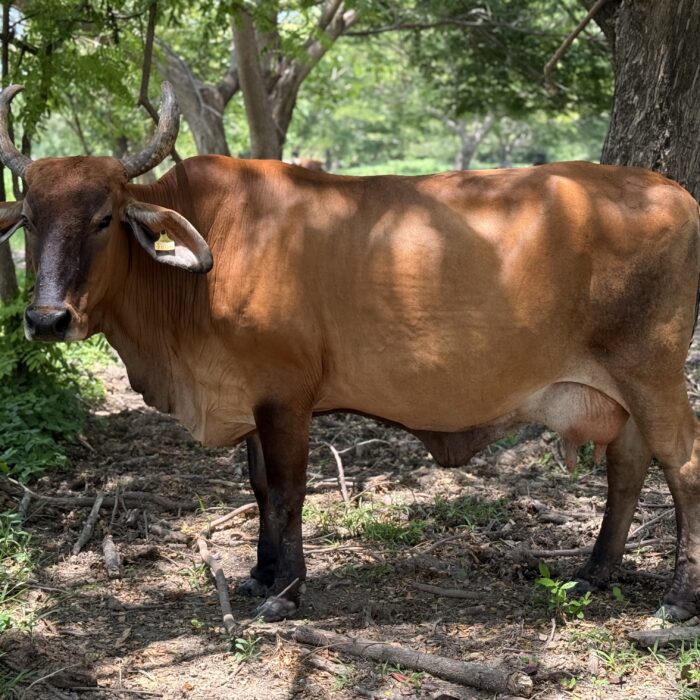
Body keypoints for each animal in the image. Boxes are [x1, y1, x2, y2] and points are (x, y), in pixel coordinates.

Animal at [1, 82, 700, 623]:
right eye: (31, 219)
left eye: (103, 218)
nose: (46, 318)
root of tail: (672, 191)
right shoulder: (251, 393)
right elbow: (259, 487)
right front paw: (260, 573)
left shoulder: (285, 395)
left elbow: (287, 490)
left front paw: (286, 592)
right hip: (622, 387)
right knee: (628, 466)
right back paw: (594, 573)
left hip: (653, 373)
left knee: (682, 465)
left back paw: (677, 599)